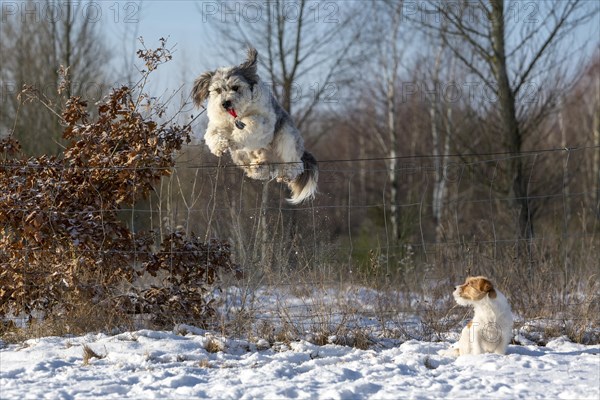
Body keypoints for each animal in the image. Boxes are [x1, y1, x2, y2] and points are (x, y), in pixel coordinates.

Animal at [192, 47, 318, 205]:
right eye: (218, 90)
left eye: (235, 87)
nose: (225, 103)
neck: (236, 115)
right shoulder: (219, 122)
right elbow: (213, 132)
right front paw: (219, 146)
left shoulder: (264, 120)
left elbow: (251, 124)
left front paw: (235, 137)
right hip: (243, 155)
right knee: (263, 168)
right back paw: (258, 166)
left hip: (286, 137)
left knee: (295, 163)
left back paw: (286, 173)